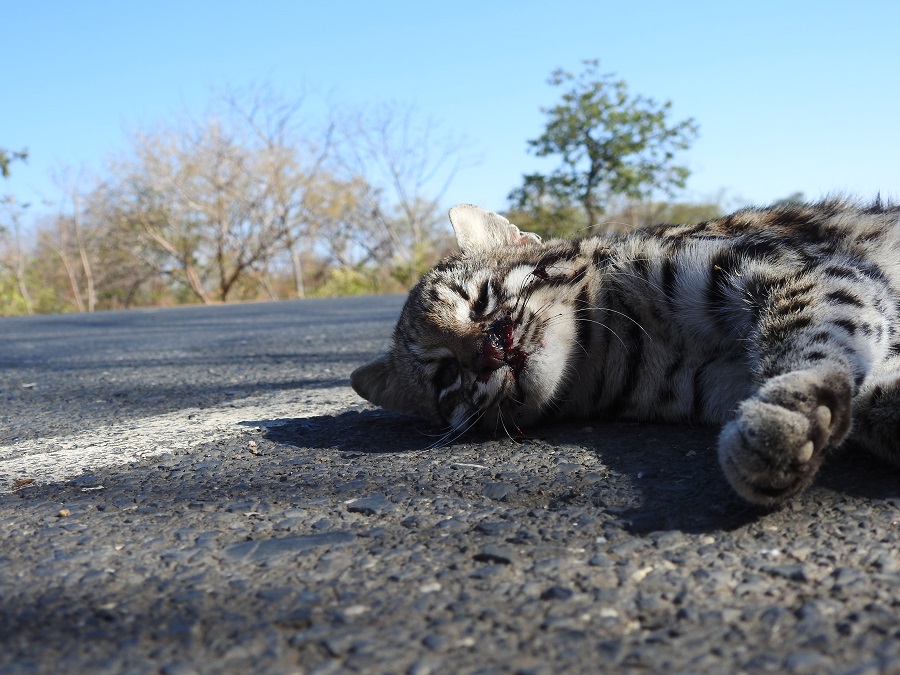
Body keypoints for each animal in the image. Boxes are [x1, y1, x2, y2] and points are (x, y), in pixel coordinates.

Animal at [352, 198, 900, 504]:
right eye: (446, 375)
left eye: (481, 300)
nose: (492, 351)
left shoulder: (803, 269)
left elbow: (809, 336)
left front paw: (788, 409)